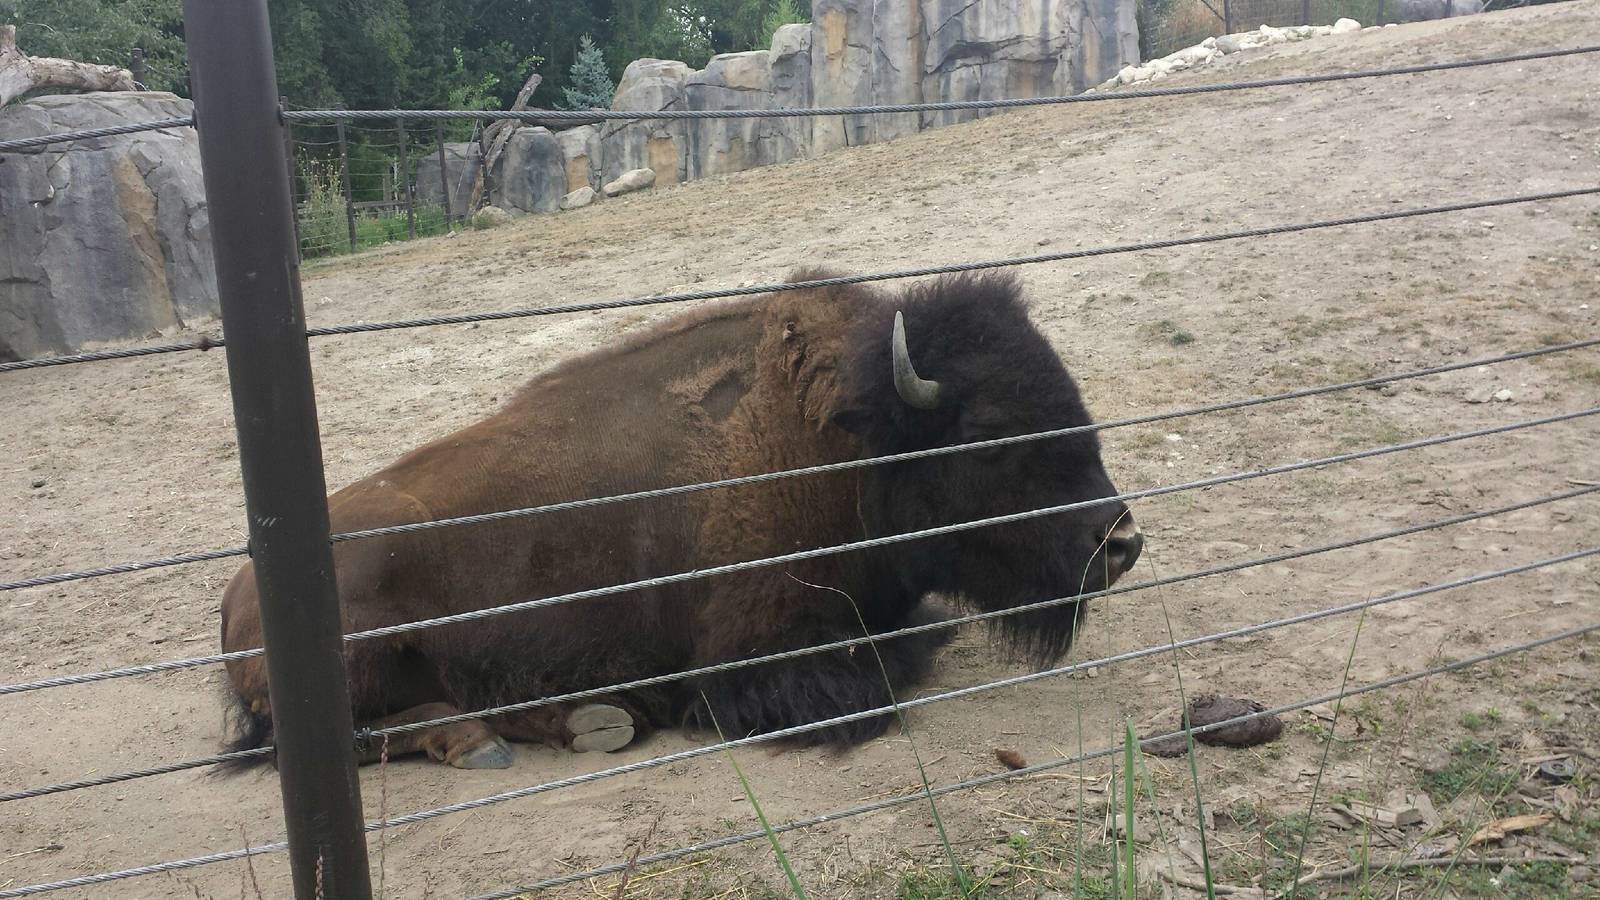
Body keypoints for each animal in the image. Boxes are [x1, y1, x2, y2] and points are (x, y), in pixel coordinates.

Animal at [220, 270, 1143, 769]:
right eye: (989, 435)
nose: (1121, 543)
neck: (843, 444)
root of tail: (239, 589)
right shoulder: (759, 660)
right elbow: (885, 672)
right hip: (361, 652)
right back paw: (522, 731)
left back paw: (595, 718)